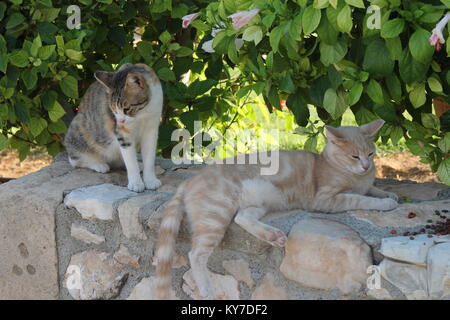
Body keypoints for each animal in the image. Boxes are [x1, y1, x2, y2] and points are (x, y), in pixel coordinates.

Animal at [63, 63, 162, 191]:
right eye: (113, 109)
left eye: (126, 109)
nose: (120, 120)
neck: (143, 113)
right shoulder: (122, 132)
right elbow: (130, 161)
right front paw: (136, 183)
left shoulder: (152, 128)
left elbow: (149, 157)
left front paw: (150, 180)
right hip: (78, 129)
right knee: (75, 160)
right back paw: (98, 164)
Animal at [154, 119, 398, 298]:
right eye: (354, 156)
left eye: (371, 154)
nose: (366, 166)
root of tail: (190, 181)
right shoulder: (325, 199)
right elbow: (360, 199)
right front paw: (385, 203)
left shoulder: (363, 185)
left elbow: (373, 190)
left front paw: (389, 195)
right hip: (216, 214)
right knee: (196, 254)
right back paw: (206, 288)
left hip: (258, 204)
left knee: (242, 218)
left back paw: (274, 236)